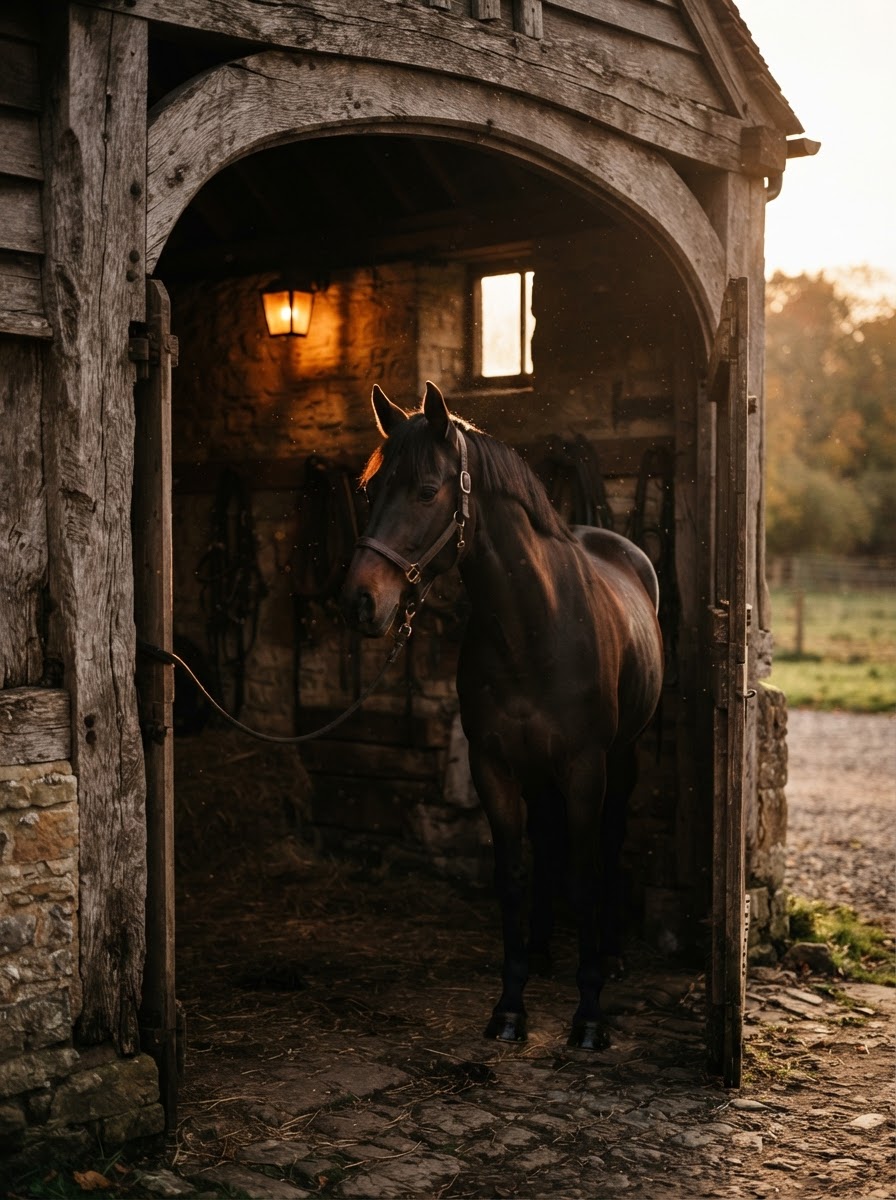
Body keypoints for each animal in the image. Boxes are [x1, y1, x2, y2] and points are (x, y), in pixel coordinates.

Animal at [341, 381, 664, 1049]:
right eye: (369, 490)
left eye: (427, 491)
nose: (360, 600)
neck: (534, 626)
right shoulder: (494, 764)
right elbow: (511, 874)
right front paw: (510, 1006)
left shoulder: (586, 767)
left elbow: (585, 873)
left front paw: (589, 1016)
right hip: (537, 770)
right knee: (546, 841)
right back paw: (539, 953)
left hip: (621, 760)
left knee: (610, 841)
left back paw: (610, 955)